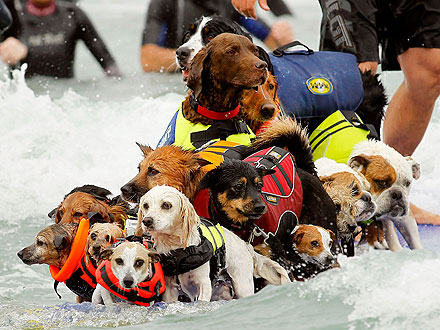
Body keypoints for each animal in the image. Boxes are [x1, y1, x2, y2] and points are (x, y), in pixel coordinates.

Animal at [138, 186, 288, 302]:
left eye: (166, 205)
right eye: (146, 205)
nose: (147, 221)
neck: (178, 250)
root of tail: (246, 246)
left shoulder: (203, 284)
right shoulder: (170, 288)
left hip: (242, 284)